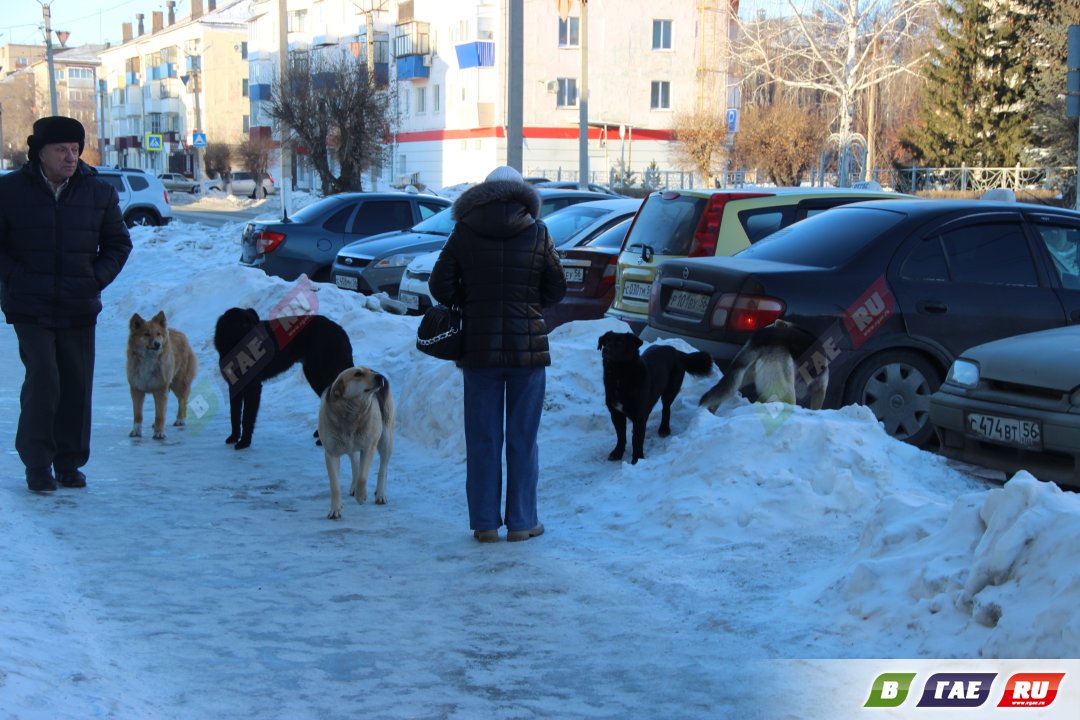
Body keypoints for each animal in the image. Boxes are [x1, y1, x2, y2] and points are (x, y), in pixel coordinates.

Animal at [126, 310, 198, 440]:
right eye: (146, 334)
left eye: (158, 334)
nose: (158, 344)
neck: (148, 359)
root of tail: (180, 333)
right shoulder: (136, 389)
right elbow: (138, 415)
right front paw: (136, 431)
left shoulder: (160, 389)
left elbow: (160, 415)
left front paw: (159, 432)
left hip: (178, 383)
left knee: (182, 400)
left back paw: (180, 419)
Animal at [213, 308, 354, 451]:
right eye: (243, 325)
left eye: (254, 323)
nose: (263, 342)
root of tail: (340, 329)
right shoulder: (234, 387)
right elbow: (234, 415)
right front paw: (234, 437)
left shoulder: (253, 387)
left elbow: (246, 417)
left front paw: (244, 442)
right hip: (314, 375)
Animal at [317, 369, 395, 520]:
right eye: (358, 374)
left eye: (370, 370)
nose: (380, 377)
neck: (352, 415)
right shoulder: (331, 453)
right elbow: (335, 486)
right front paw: (335, 510)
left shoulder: (369, 447)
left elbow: (363, 477)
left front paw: (361, 496)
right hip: (349, 446)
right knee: (355, 461)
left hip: (385, 438)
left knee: (383, 468)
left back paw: (380, 494)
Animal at [600, 334, 717, 468]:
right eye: (605, 341)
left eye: (620, 342)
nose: (605, 350)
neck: (620, 377)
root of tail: (676, 351)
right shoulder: (616, 413)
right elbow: (621, 436)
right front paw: (617, 453)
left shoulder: (639, 416)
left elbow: (637, 439)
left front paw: (637, 459)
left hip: (670, 391)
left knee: (666, 409)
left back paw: (664, 429)